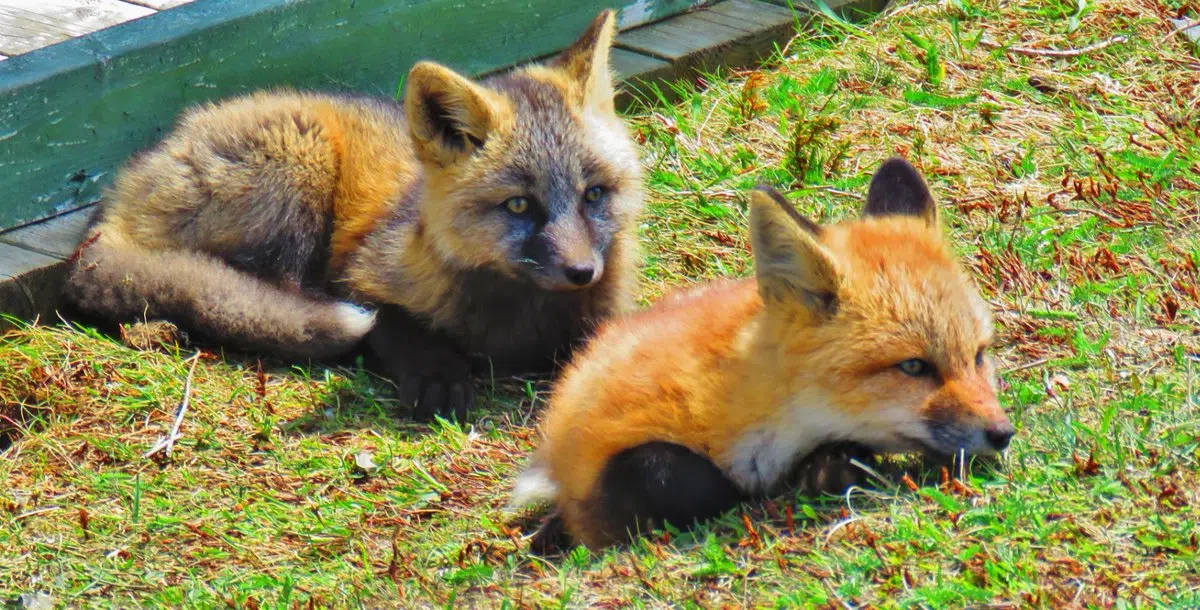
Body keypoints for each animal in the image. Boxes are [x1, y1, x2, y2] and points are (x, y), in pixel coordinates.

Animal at [63, 11, 643, 419]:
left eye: (594, 194)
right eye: (519, 204)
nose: (581, 272)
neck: (515, 325)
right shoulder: (361, 276)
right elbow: (395, 323)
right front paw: (437, 372)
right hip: (302, 167)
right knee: (268, 298)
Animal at [508, 157, 1016, 551]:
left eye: (978, 356)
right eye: (913, 366)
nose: (1002, 434)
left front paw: (829, 468)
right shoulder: (602, 461)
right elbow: (671, 473)